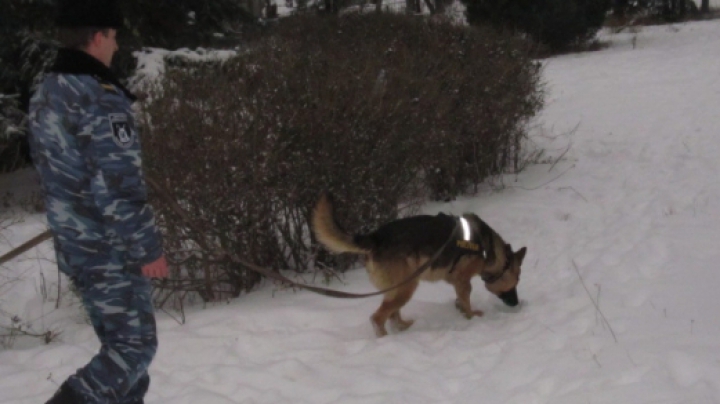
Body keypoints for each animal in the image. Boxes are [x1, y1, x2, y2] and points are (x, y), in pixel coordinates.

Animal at [312, 195, 524, 338]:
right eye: (516, 282)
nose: (517, 304)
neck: (488, 248)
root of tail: (376, 237)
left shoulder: (457, 282)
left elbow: (460, 300)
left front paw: (462, 310)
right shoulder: (463, 280)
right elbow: (466, 301)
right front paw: (472, 315)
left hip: (399, 288)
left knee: (392, 315)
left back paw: (404, 327)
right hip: (407, 287)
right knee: (378, 318)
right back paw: (385, 340)